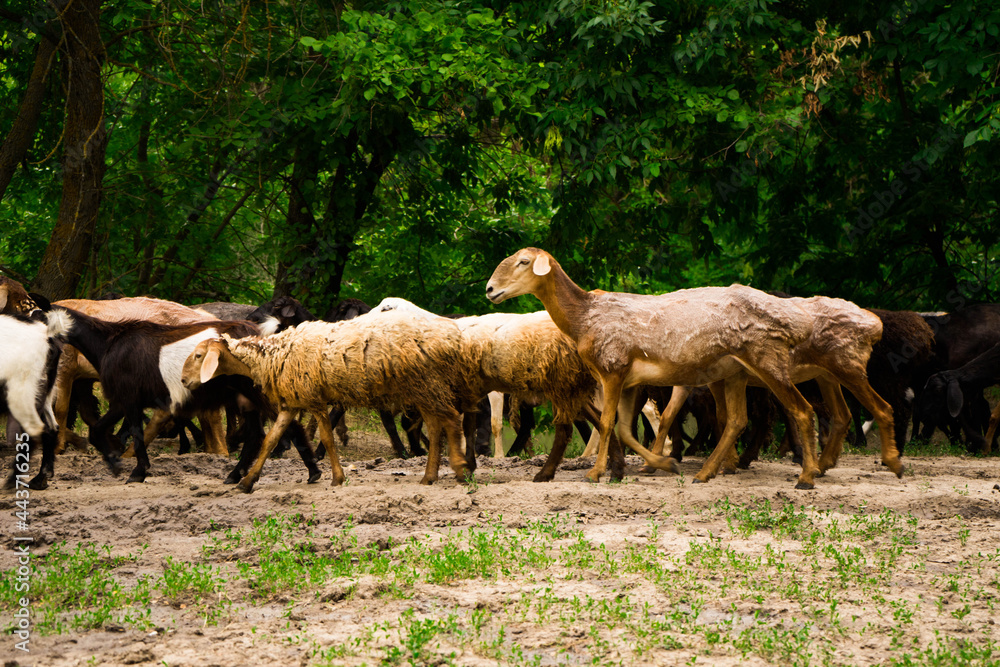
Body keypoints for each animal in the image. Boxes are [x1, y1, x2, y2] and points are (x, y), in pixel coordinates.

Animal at [182, 312, 470, 490]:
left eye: (198, 355)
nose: (184, 381)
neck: (270, 356)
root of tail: (452, 338)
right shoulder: (291, 403)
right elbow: (270, 440)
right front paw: (247, 482)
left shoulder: (314, 399)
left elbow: (328, 438)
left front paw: (337, 478)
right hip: (424, 388)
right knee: (436, 426)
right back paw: (430, 476)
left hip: (428, 383)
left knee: (451, 420)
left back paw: (460, 470)